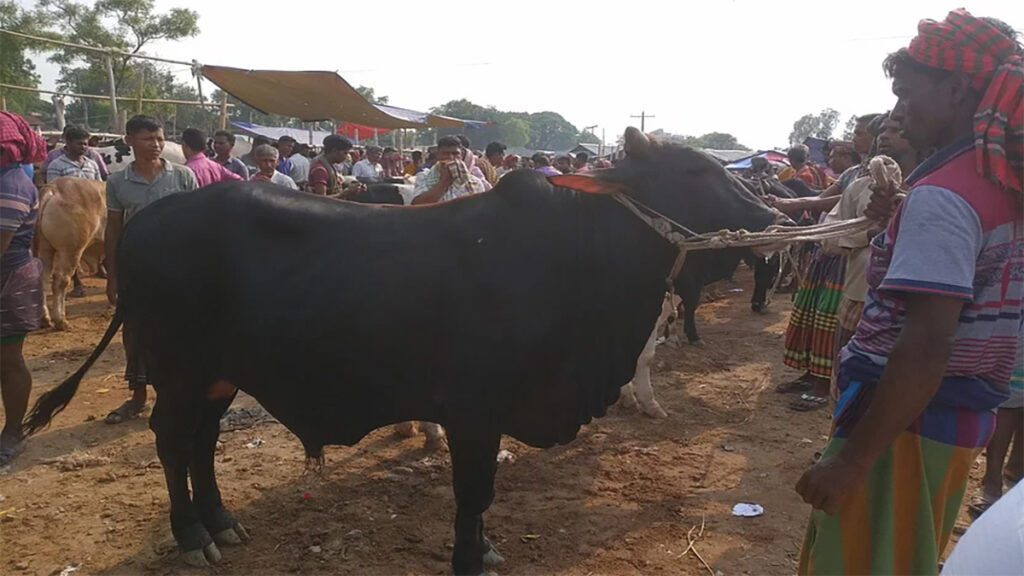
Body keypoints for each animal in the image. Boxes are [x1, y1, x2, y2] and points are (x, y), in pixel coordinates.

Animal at [35, 176, 106, 327]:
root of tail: (54, 187)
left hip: (45, 249)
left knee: (43, 280)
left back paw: (45, 319)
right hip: (71, 250)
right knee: (60, 282)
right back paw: (60, 320)